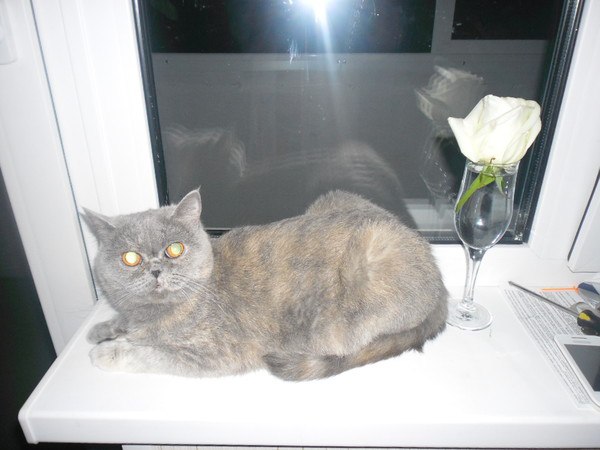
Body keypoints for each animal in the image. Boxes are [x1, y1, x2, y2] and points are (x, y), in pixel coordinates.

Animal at [82, 189, 448, 381]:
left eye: (175, 249)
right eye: (131, 258)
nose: (156, 270)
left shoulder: (216, 352)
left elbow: (152, 353)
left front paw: (108, 351)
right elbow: (125, 325)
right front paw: (102, 328)